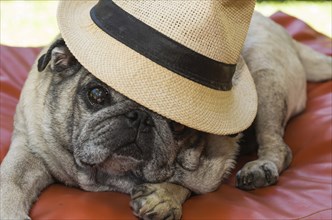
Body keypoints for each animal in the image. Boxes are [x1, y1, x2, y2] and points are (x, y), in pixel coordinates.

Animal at [0, 12, 332, 220]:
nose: (139, 117)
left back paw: (261, 167)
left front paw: (163, 196)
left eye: (177, 124)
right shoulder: (29, 148)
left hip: (264, 77)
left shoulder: (213, 167)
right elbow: (10, 182)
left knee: (279, 146)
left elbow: (188, 183)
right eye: (96, 94)